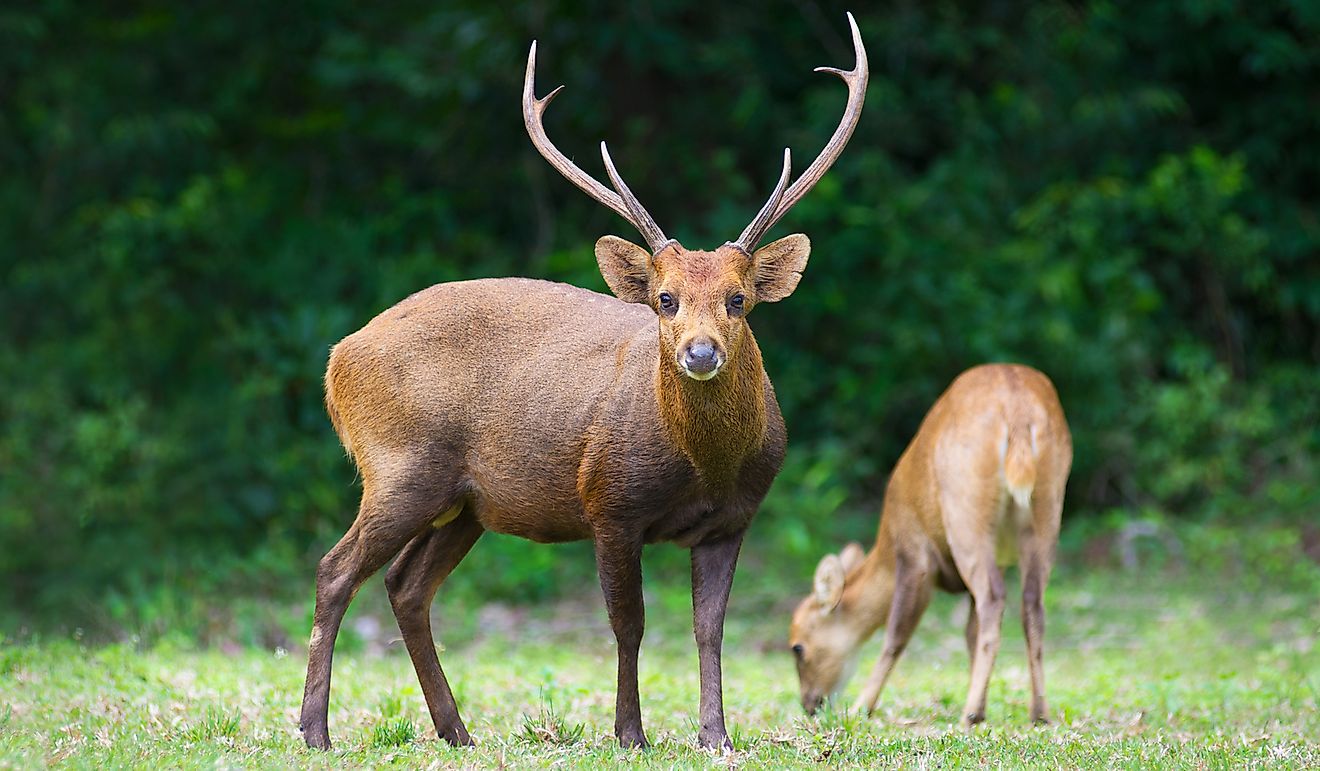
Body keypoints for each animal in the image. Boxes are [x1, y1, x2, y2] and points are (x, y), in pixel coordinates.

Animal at [302, 13, 871, 744]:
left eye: (739, 299)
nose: (700, 353)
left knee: (405, 585)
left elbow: (709, 629)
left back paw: (457, 730)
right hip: (399, 466)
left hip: (466, 500)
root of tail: (337, 359)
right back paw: (315, 729)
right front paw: (630, 731)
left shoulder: (733, 518)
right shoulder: (610, 501)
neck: (704, 466)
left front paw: (714, 734)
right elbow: (629, 625)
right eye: (664, 298)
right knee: (334, 570)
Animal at [786, 364, 1066, 723]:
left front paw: (863, 706)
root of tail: (1018, 412)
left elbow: (897, 633)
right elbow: (969, 632)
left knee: (994, 599)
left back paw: (971, 713)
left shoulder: (914, 551)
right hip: (1048, 506)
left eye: (798, 647)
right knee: (1032, 605)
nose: (810, 704)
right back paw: (1038, 712)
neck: (887, 546)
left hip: (965, 510)